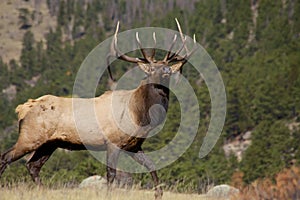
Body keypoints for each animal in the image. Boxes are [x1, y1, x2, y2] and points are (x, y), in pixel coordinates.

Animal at [0, 18, 196, 198]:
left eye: (167, 67)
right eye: (152, 69)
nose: (166, 71)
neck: (140, 115)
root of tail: (22, 108)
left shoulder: (133, 146)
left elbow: (151, 165)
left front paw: (158, 194)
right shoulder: (112, 142)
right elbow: (111, 174)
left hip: (50, 143)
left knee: (32, 166)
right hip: (30, 136)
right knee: (6, 157)